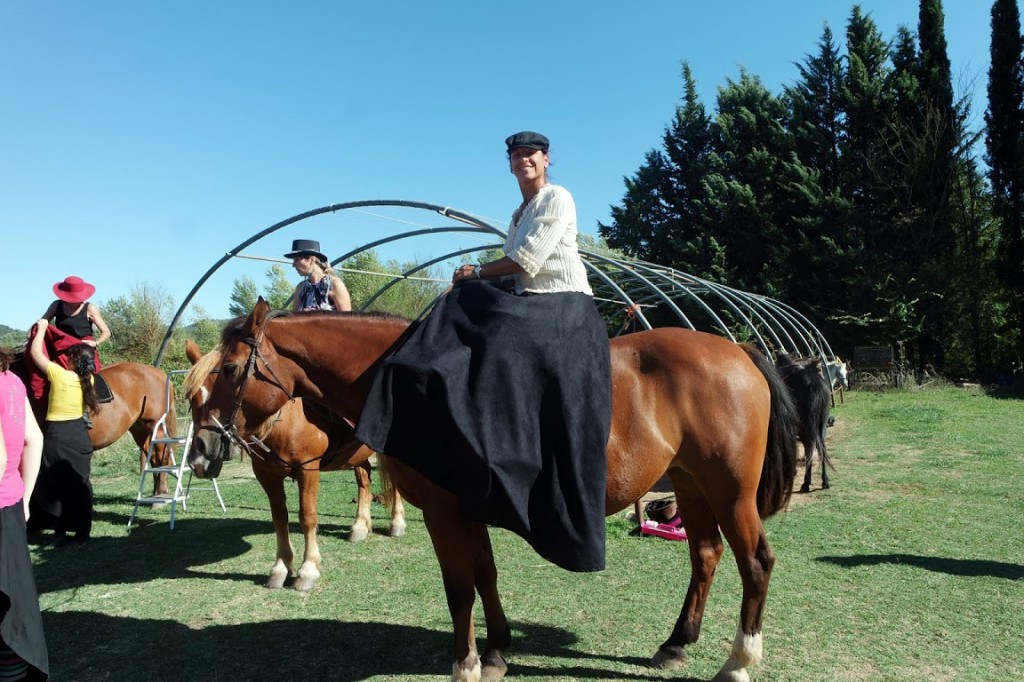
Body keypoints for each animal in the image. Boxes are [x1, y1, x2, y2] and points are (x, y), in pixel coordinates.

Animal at [182, 339, 405, 589]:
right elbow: (280, 518)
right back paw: (360, 525)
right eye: (192, 399)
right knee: (364, 478)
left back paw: (396, 522)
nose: (200, 458)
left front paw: (308, 569)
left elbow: (307, 516)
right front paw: (281, 567)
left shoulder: (308, 469)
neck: (285, 418)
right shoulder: (266, 475)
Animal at [774, 352, 831, 491]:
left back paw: (806, 483)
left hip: (805, 427)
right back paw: (825, 481)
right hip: (820, 425)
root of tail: (814, 383)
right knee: (821, 447)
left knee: (809, 446)